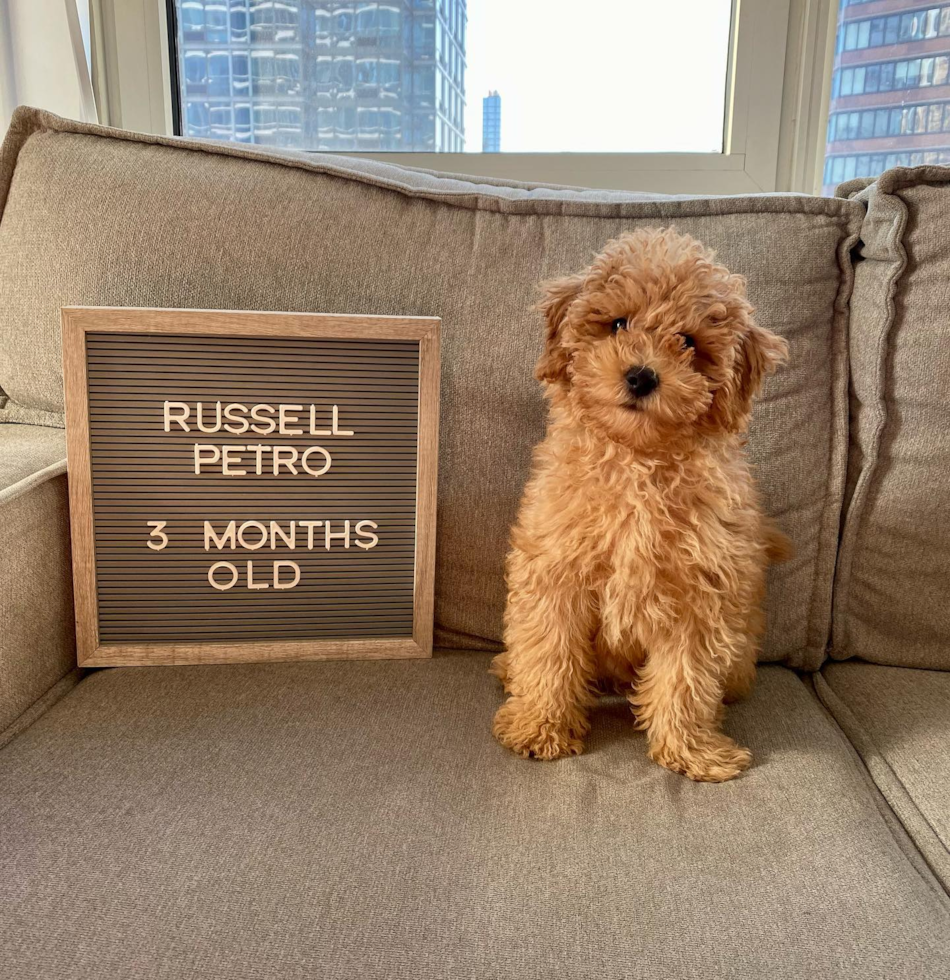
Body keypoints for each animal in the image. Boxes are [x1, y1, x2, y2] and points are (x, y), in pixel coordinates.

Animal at [490, 228, 788, 780]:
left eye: (688, 341)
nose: (642, 376)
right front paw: (540, 727)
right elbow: (548, 651)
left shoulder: (701, 593)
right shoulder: (555, 570)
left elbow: (686, 680)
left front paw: (692, 751)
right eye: (618, 323)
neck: (637, 463)